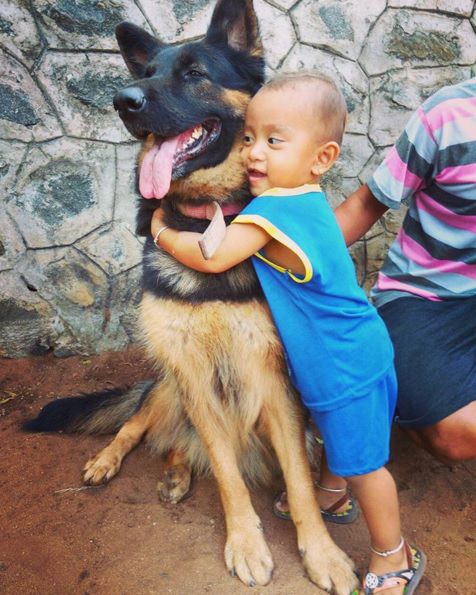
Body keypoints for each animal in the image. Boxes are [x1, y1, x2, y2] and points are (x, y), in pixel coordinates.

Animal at [24, 2, 356, 592]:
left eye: (195, 73)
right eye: (146, 72)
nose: (123, 100)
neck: (205, 220)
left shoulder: (273, 380)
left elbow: (298, 477)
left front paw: (321, 552)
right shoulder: (194, 375)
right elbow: (225, 474)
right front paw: (245, 542)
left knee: (180, 443)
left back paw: (178, 473)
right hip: (169, 385)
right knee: (139, 424)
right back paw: (112, 461)